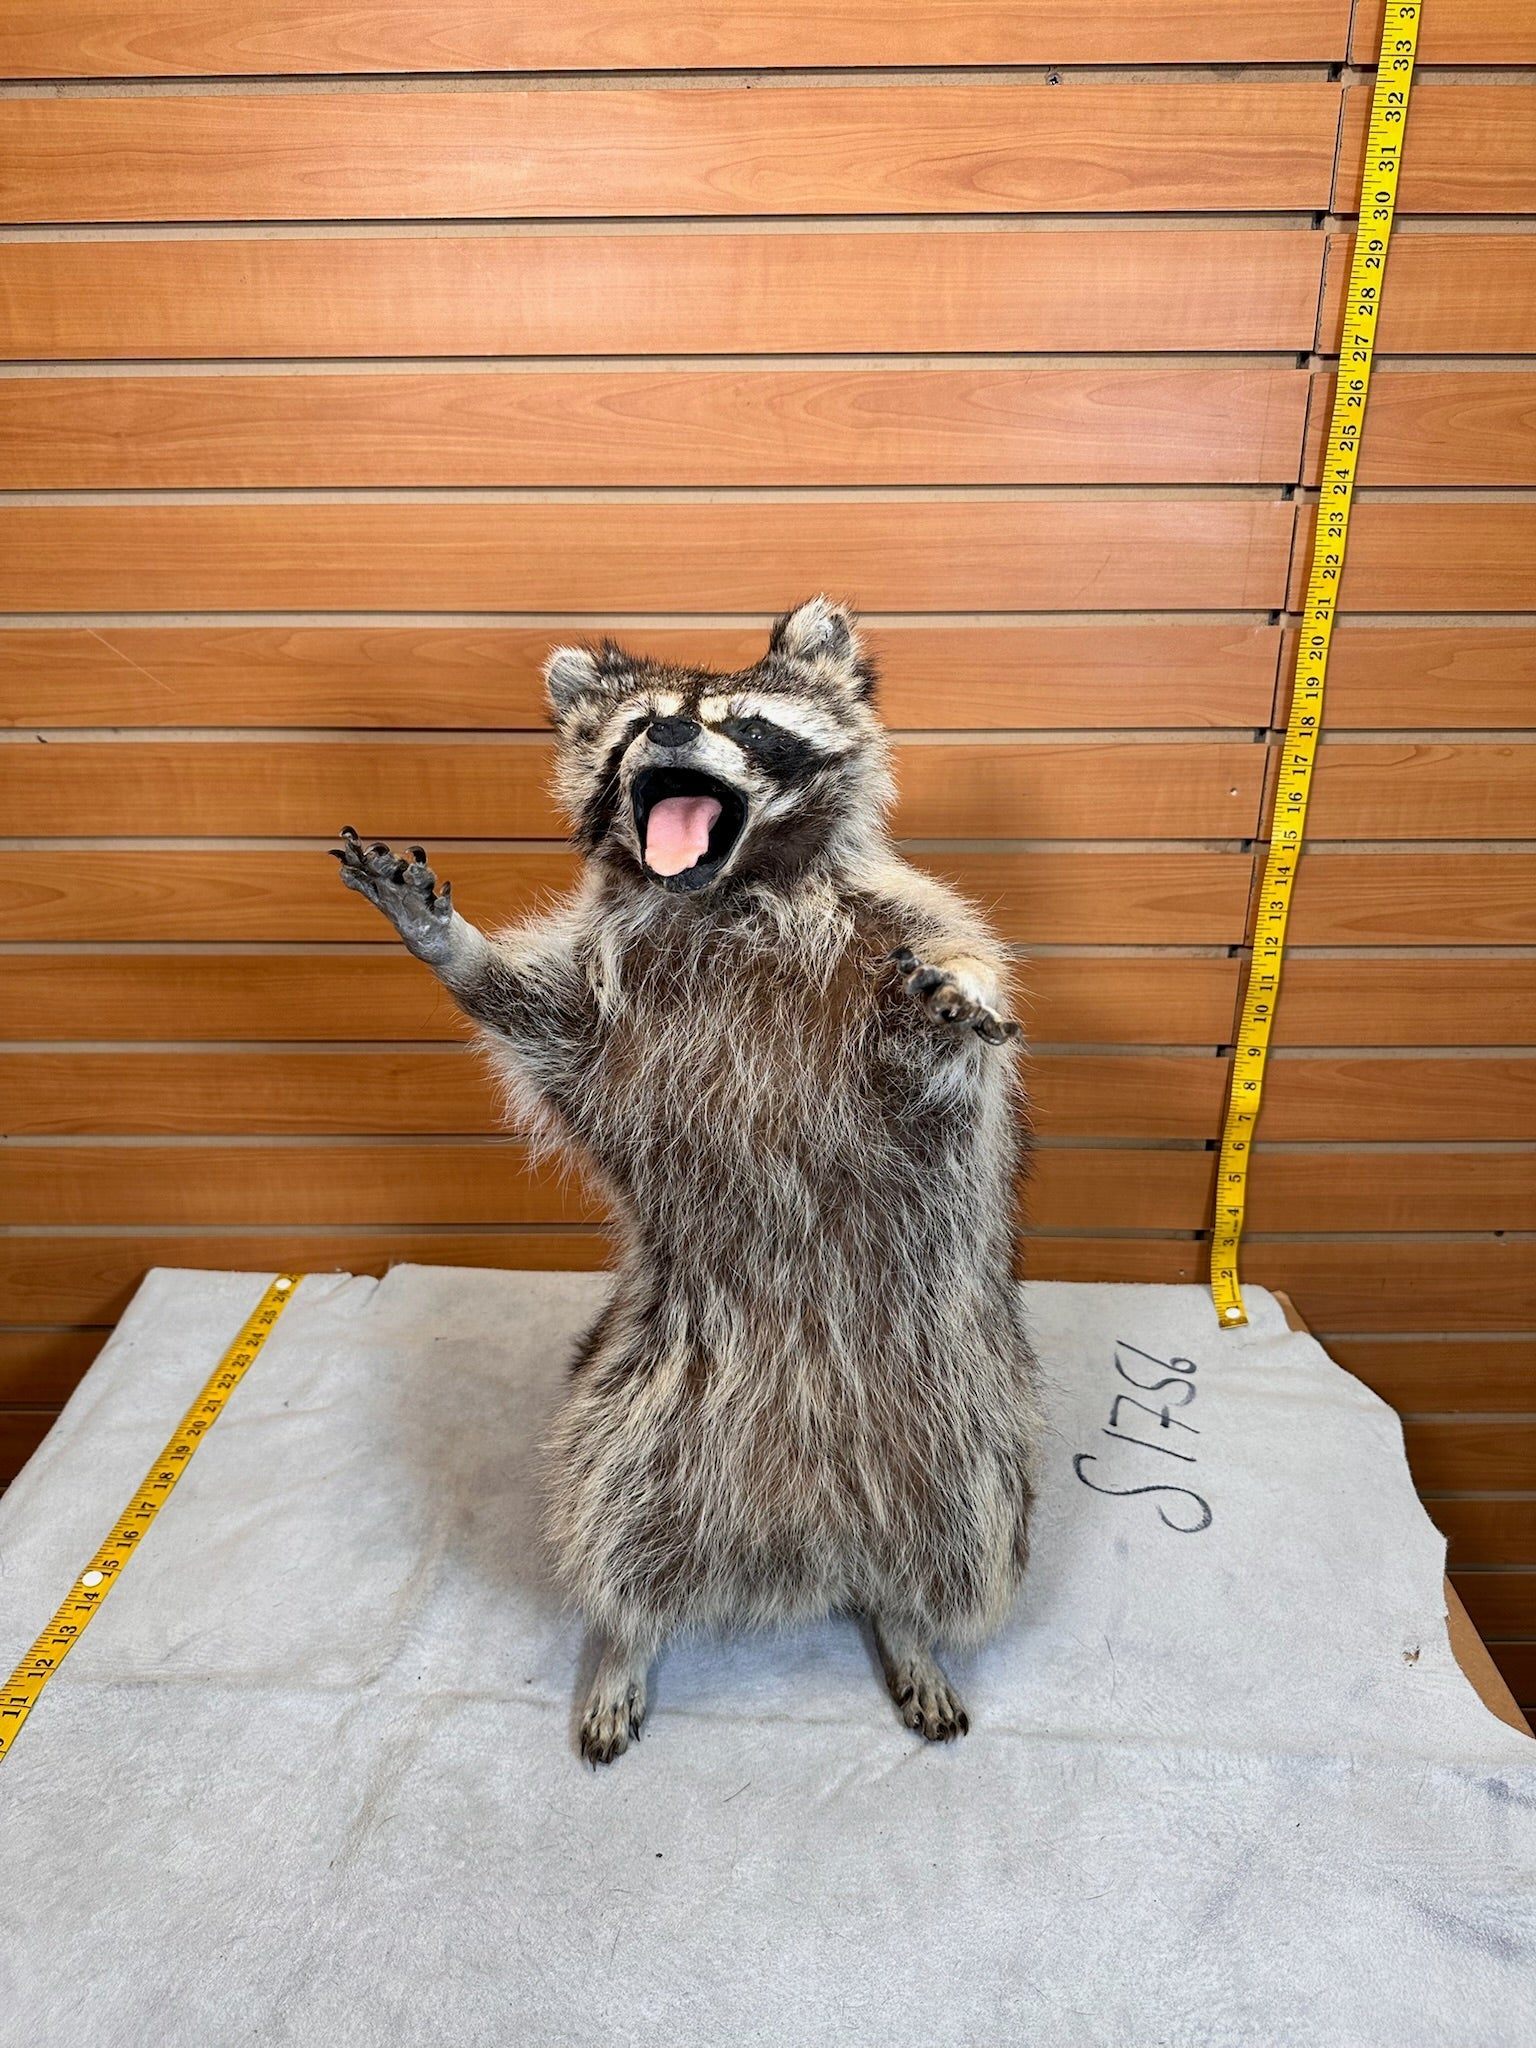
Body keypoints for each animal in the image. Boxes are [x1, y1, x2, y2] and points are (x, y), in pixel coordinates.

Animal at [333, 596, 1040, 1764]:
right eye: (639, 725)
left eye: (744, 723)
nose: (668, 734)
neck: (729, 895)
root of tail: (810, 1540)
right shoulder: (607, 1023)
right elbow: (541, 1019)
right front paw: (455, 947)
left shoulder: (904, 943)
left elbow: (936, 1074)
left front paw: (934, 1018)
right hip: (636, 1407)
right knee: (603, 1518)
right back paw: (628, 1638)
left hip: (963, 1417)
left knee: (968, 1534)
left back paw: (909, 1622)